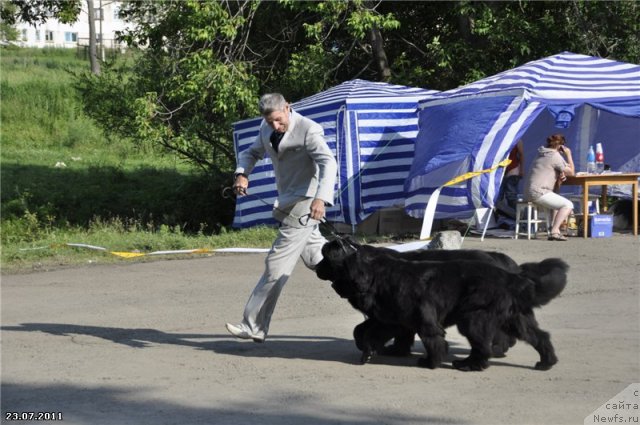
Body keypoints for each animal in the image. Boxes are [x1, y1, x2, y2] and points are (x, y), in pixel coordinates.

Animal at [318, 238, 568, 372]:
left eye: (325, 259)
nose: (316, 267)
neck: (372, 273)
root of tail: (512, 275)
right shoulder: (390, 318)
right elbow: (362, 330)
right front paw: (375, 350)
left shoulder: (417, 318)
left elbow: (431, 340)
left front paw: (429, 361)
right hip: (515, 317)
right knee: (539, 336)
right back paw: (546, 362)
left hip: (474, 318)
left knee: (484, 344)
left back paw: (471, 363)